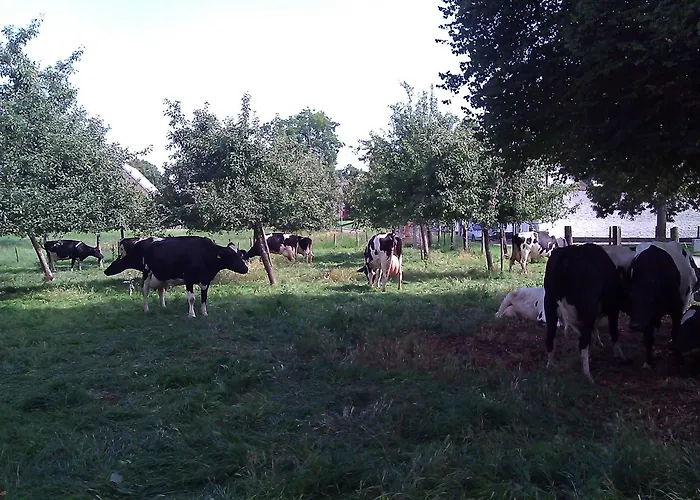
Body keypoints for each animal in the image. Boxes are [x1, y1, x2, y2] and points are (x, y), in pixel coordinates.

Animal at [543, 243, 627, 383]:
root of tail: (565, 256)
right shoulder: (612, 309)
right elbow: (614, 331)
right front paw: (619, 354)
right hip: (587, 309)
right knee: (583, 342)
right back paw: (588, 376)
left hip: (549, 306)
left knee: (550, 338)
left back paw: (550, 366)